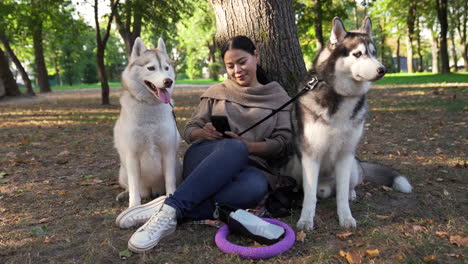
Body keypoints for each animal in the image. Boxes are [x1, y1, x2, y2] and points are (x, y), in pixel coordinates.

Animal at [114, 37, 182, 207]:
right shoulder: (132, 155)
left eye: (166, 68)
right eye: (151, 68)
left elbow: (170, 180)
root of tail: (151, 191)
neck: (150, 107)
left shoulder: (168, 151)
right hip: (122, 171)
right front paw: (134, 206)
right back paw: (124, 194)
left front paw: (171, 196)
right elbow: (134, 185)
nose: (168, 81)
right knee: (128, 186)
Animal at [292, 17, 414, 231]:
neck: (341, 97)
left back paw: (351, 193)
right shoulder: (310, 155)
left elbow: (341, 195)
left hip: (354, 167)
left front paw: (346, 217)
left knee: (348, 186)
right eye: (357, 54)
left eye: (373, 52)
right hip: (296, 165)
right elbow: (309, 196)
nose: (383, 69)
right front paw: (306, 219)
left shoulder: (345, 154)